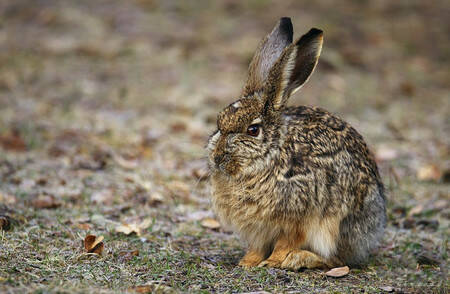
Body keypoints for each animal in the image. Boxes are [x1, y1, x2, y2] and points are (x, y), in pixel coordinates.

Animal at [207, 17, 386, 270]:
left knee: (337, 259)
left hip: (338, 224)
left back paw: (300, 259)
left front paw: (273, 262)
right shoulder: (258, 231)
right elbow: (257, 247)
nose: (218, 158)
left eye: (253, 130)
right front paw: (247, 262)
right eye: (219, 124)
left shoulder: (297, 219)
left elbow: (285, 242)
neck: (269, 156)